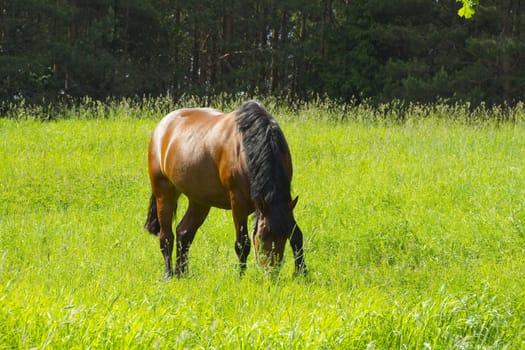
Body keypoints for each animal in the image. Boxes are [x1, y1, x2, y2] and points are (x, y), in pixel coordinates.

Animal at [144, 101, 308, 278]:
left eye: (284, 234)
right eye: (262, 236)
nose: (271, 273)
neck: (248, 147)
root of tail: (163, 126)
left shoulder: (285, 203)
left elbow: (297, 235)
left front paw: (302, 273)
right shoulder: (238, 204)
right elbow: (242, 243)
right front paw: (241, 276)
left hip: (199, 201)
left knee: (183, 233)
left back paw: (182, 273)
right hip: (164, 192)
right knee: (166, 237)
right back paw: (169, 274)